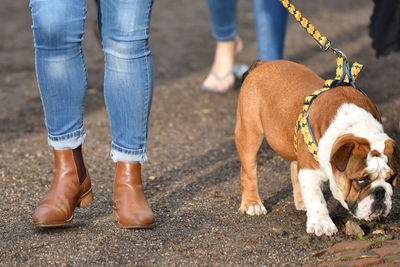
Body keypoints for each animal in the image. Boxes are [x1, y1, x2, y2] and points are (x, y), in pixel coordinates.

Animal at [236, 60, 398, 237]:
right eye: (360, 180)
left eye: (391, 178)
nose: (380, 191)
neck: (355, 127)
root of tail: (263, 64)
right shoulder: (309, 171)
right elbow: (316, 198)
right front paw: (322, 223)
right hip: (249, 132)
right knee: (248, 170)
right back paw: (252, 204)